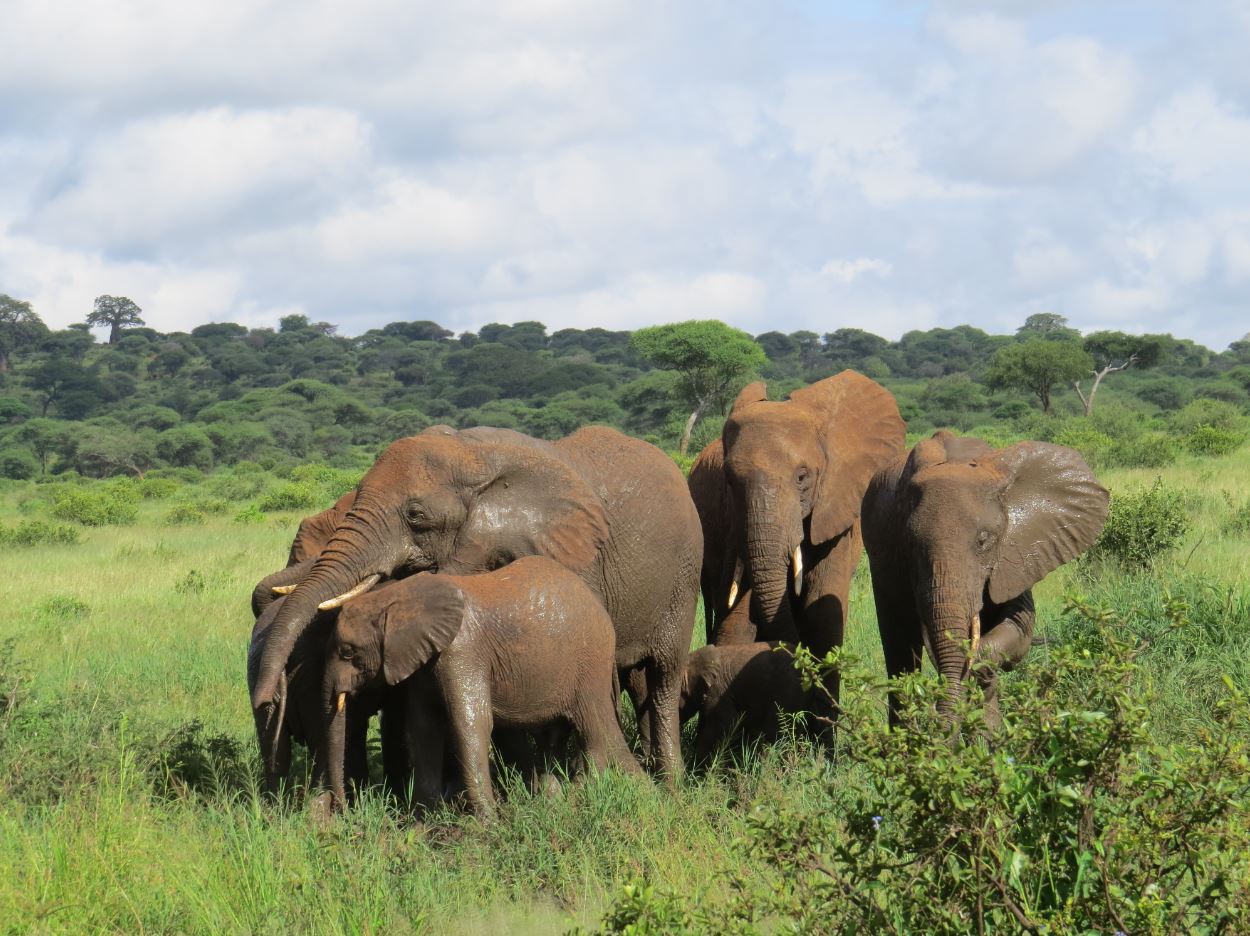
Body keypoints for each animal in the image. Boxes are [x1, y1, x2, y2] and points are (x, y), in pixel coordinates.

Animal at [251, 424, 702, 780]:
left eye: (415, 515)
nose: (268, 700)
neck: (473, 454)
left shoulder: (576, 555)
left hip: (684, 579)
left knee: (663, 676)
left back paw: (670, 781)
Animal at [323, 556, 642, 817]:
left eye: (348, 652)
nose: (345, 810)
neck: (398, 596)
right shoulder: (424, 661)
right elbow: (423, 727)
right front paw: (424, 822)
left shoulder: (461, 650)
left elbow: (469, 723)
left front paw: (487, 823)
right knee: (556, 737)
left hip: (591, 662)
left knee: (595, 728)